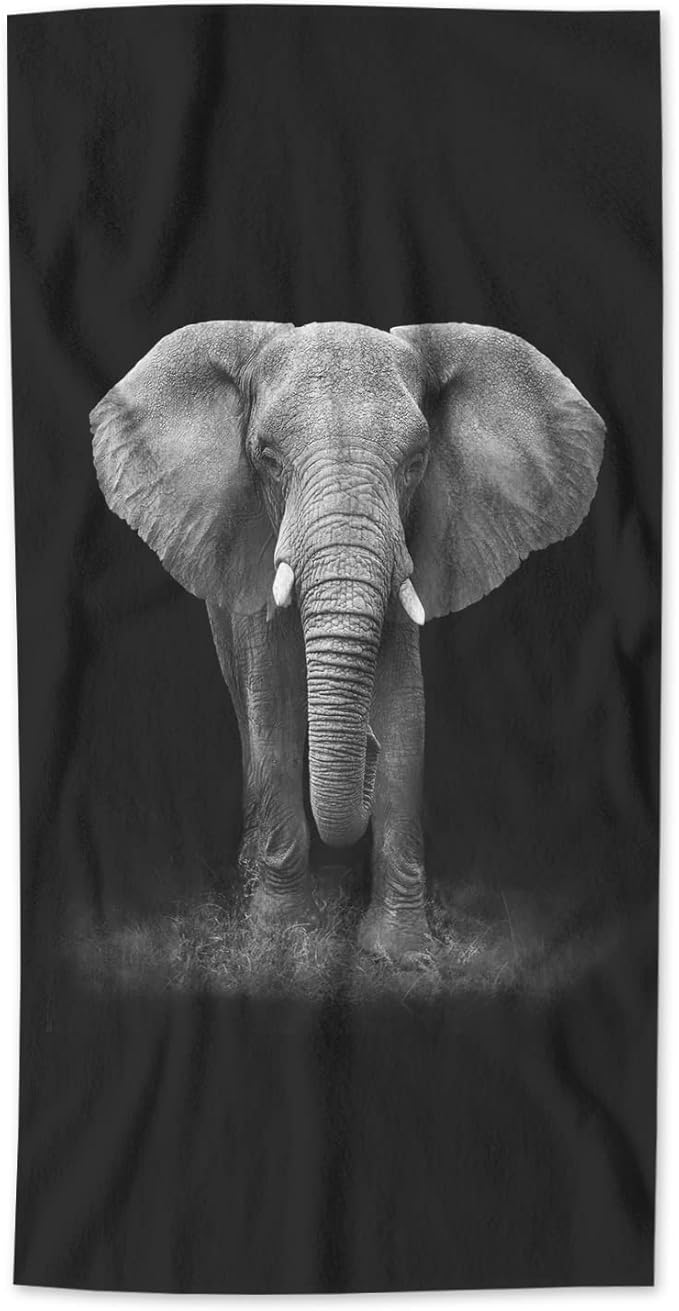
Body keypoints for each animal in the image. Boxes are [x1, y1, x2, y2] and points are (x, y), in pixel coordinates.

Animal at [90, 320, 605, 963]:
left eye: (416, 461)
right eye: (267, 458)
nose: (367, 747)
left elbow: (406, 711)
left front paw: (400, 954)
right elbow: (273, 706)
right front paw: (282, 938)